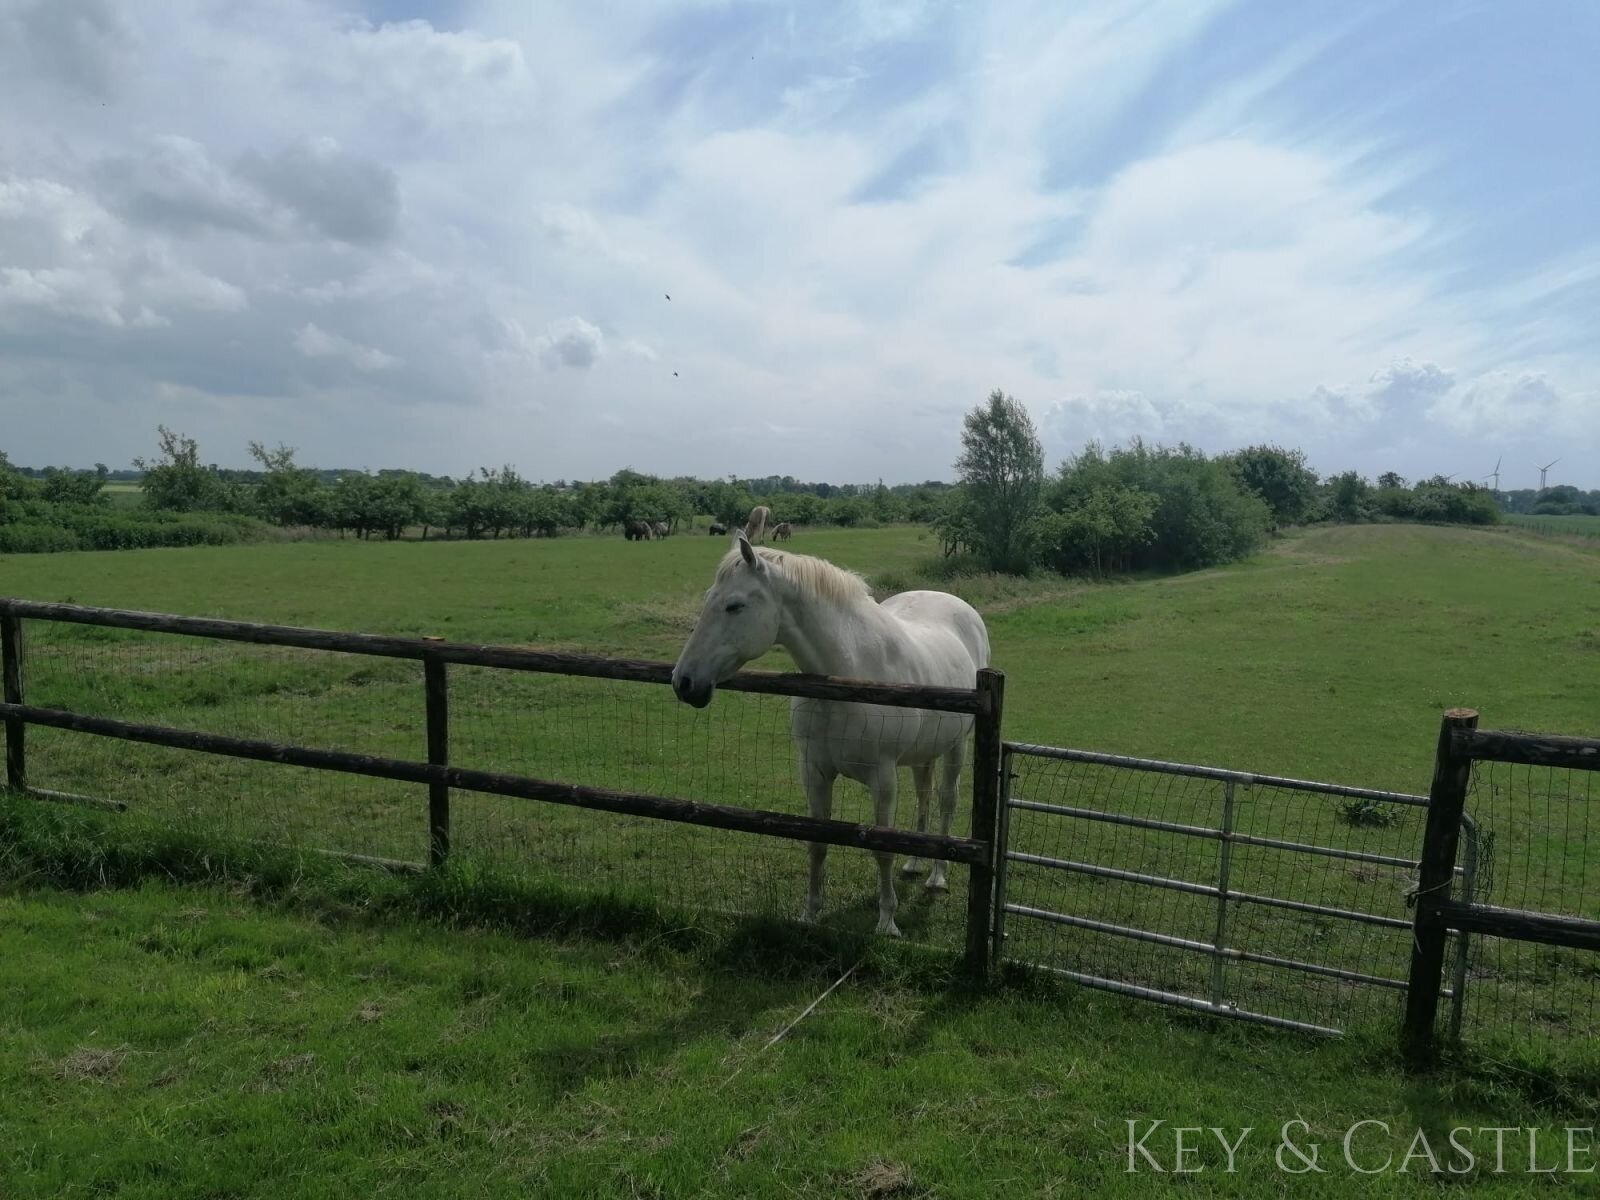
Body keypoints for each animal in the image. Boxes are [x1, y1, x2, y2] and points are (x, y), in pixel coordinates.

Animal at [662, 534, 985, 940]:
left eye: (734, 606)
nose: (684, 682)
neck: (847, 676)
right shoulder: (814, 772)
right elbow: (817, 842)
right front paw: (810, 913)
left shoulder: (883, 779)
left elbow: (882, 848)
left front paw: (887, 922)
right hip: (923, 753)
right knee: (924, 798)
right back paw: (914, 863)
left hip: (958, 747)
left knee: (945, 801)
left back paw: (938, 876)